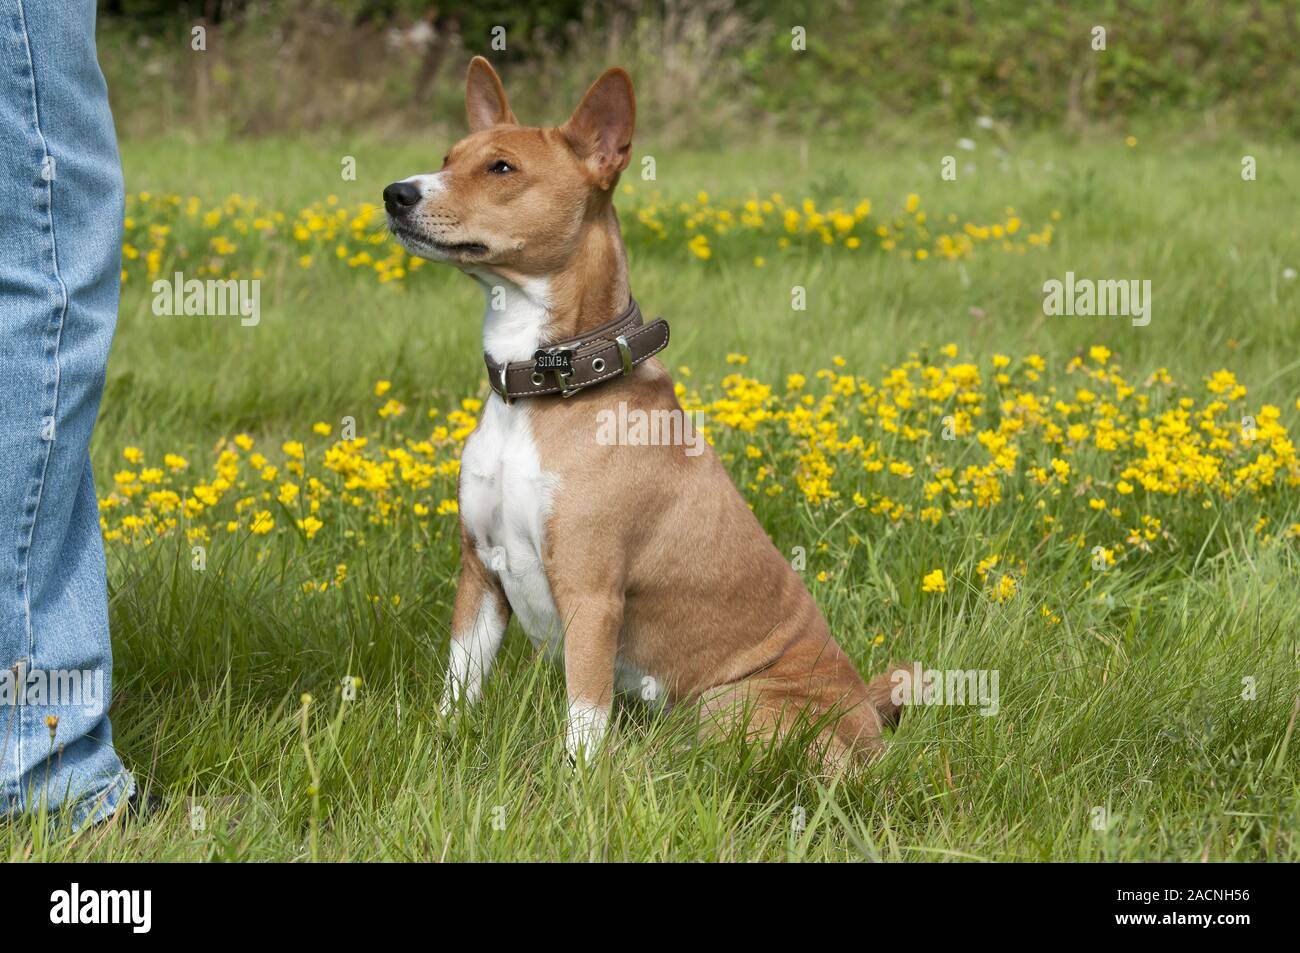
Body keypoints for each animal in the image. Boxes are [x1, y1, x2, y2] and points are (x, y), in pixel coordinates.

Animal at [382, 57, 904, 764]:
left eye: (501, 168)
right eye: (447, 157)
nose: (395, 193)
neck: (541, 390)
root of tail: (868, 718)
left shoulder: (592, 594)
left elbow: (583, 718)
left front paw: (575, 783)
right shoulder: (479, 573)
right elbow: (459, 687)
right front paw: (441, 746)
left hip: (732, 706)